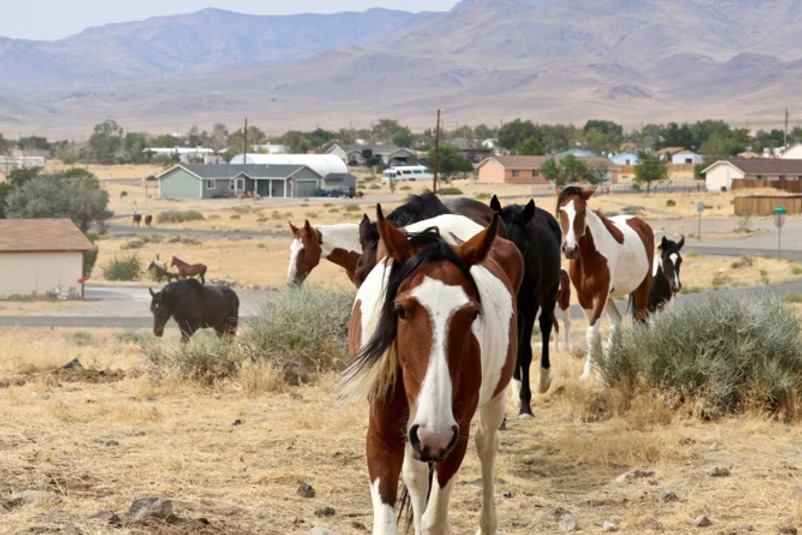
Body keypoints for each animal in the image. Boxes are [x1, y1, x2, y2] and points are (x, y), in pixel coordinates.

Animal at [344, 208, 523, 534]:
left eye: (471, 314)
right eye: (401, 310)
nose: (434, 433)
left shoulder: (454, 437)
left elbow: (435, 521)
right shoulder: (382, 435)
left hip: (494, 399)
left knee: (487, 444)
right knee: (416, 475)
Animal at [489, 195, 561, 417]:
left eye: (525, 248)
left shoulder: (529, 308)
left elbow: (525, 352)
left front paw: (525, 405)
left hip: (550, 293)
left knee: (545, 325)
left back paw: (543, 379)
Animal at [556, 186, 654, 380]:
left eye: (582, 211)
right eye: (561, 211)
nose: (570, 249)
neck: (589, 256)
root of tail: (641, 223)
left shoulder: (600, 294)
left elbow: (591, 332)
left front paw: (594, 374)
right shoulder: (584, 297)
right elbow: (593, 334)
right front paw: (596, 371)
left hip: (642, 287)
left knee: (639, 321)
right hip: (610, 297)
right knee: (616, 320)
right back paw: (610, 363)